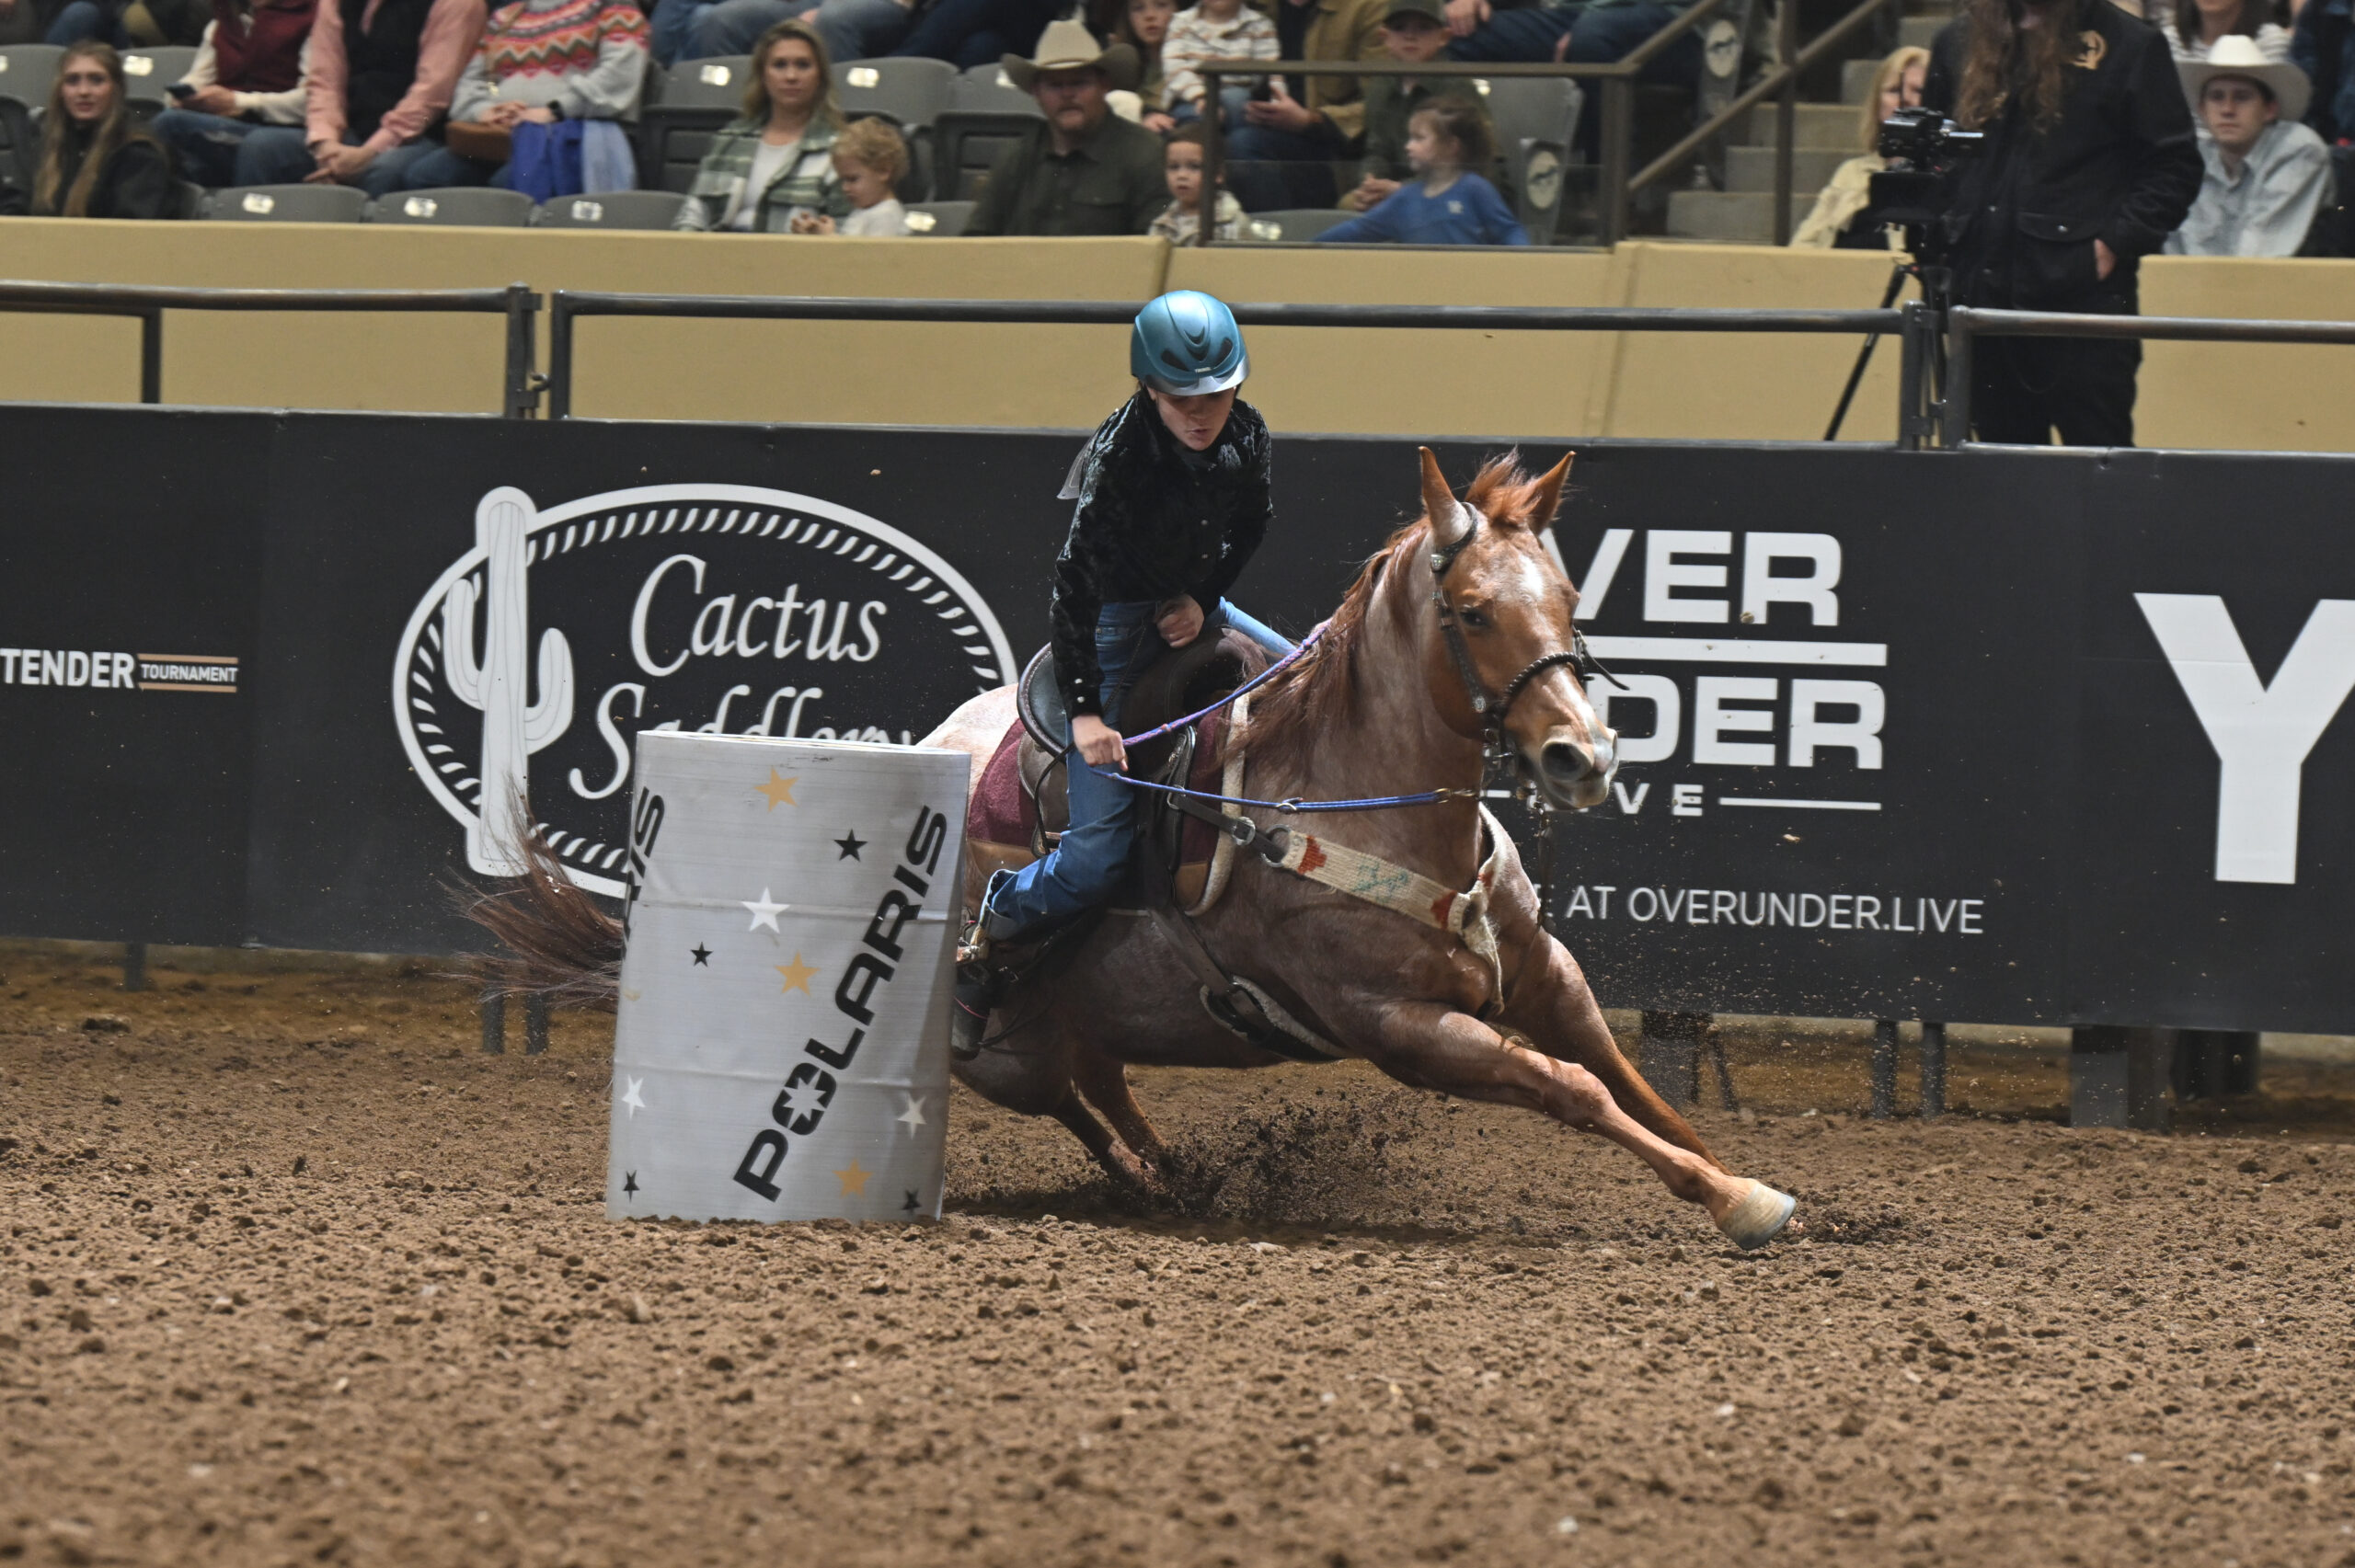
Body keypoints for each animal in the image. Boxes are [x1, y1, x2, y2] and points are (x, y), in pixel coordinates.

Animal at [913, 449, 1780, 1242]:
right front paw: (1739, 1201)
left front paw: (1741, 1181)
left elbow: (1633, 1087)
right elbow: (1572, 1085)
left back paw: (1175, 1178)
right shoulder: (1399, 1027)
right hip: (1009, 1055)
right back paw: (1145, 1176)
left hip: (1086, 1020)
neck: (1367, 807)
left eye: (1568, 599)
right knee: (1070, 1101)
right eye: (1472, 611)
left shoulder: (1548, 973)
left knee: (1105, 1088)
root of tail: (934, 741)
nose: (1584, 756)